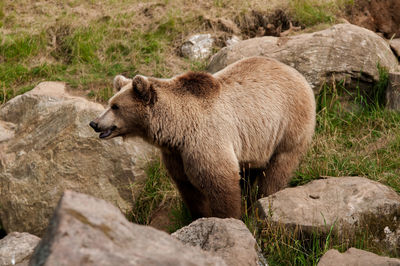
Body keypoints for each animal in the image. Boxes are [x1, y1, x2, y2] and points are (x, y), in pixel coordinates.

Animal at [90, 56, 316, 218]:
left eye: (116, 106)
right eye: (110, 102)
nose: (94, 123)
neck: (177, 128)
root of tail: (294, 71)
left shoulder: (205, 140)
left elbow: (220, 182)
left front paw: (229, 218)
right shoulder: (177, 155)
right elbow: (189, 189)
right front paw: (199, 216)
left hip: (288, 125)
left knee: (278, 168)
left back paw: (263, 201)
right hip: (257, 143)